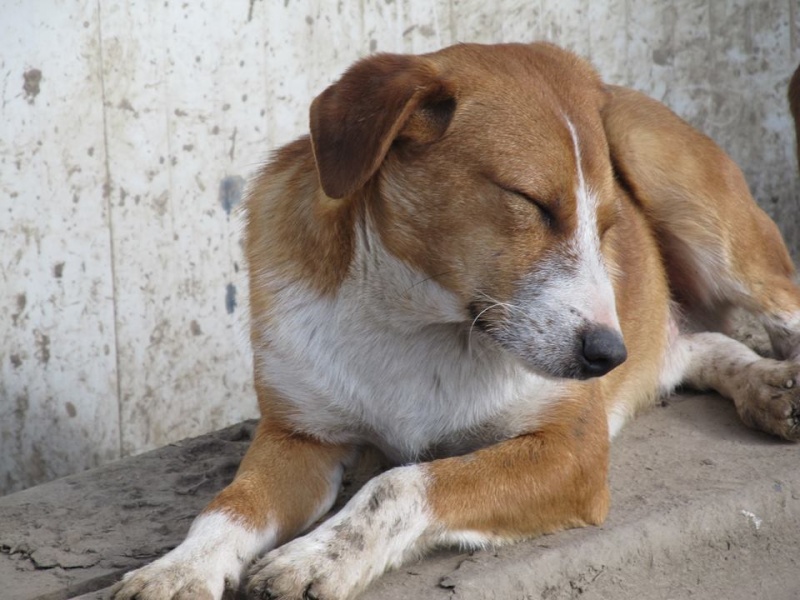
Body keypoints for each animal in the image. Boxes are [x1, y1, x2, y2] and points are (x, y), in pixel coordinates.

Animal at [111, 43, 800, 600]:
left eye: (609, 224)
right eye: (532, 203)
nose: (609, 355)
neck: (414, 323)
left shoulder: (571, 448)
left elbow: (399, 484)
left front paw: (318, 557)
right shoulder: (299, 435)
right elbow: (229, 507)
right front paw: (178, 568)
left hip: (689, 199)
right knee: (693, 342)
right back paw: (765, 387)